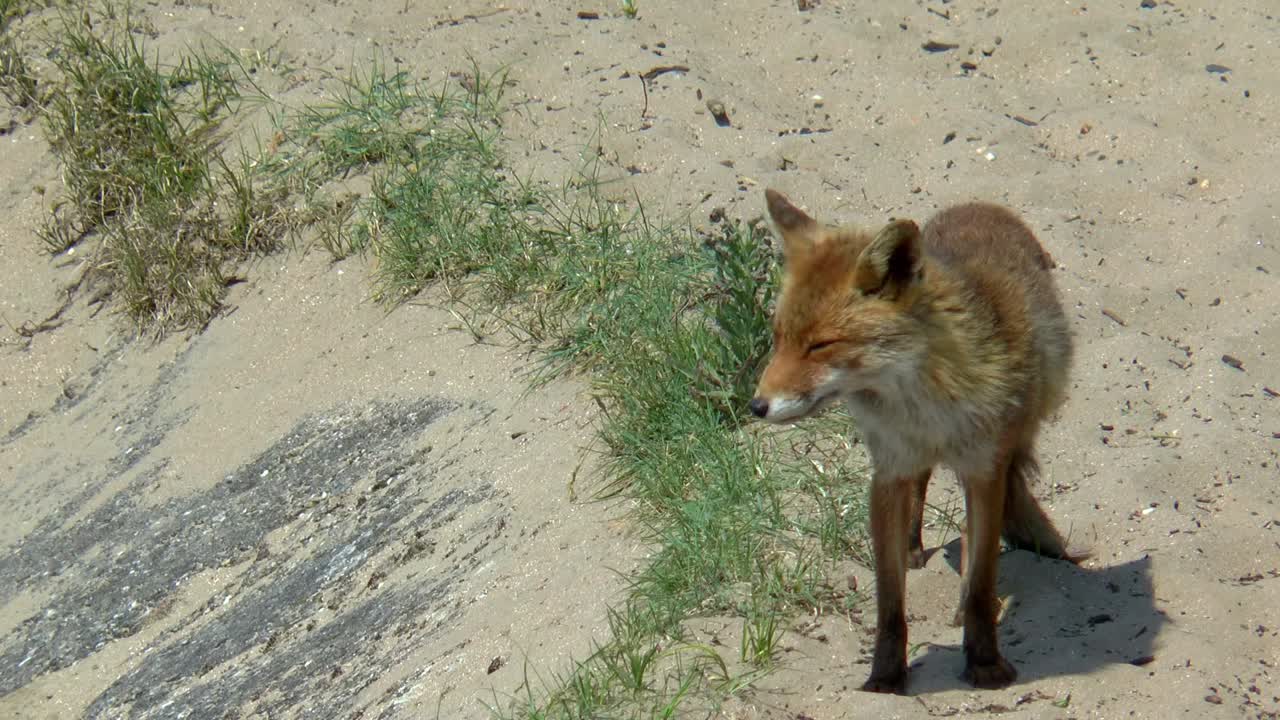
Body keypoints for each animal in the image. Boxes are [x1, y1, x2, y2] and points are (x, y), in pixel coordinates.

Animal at [749, 188, 1082, 694]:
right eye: (779, 337)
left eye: (820, 345)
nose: (757, 406)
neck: (928, 408)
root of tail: (980, 205)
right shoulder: (889, 469)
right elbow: (889, 601)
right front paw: (886, 678)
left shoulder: (984, 469)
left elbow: (982, 582)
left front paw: (984, 663)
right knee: (923, 486)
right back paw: (912, 548)